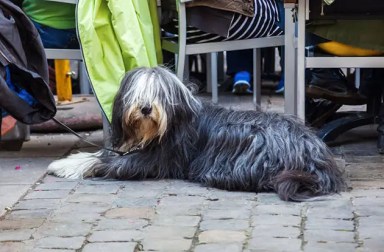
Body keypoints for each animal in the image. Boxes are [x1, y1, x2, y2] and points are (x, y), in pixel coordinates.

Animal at [48, 66, 344, 202]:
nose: (146, 108)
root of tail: (316, 154)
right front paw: (67, 160)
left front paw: (64, 166)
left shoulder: (156, 159)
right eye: (137, 93)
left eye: (158, 94)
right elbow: (102, 153)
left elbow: (105, 162)